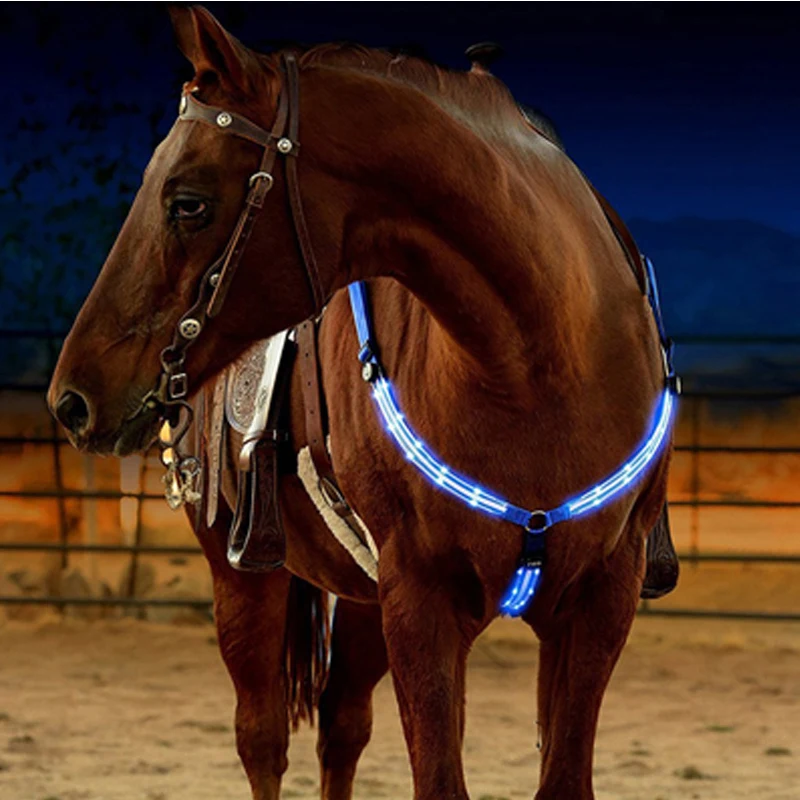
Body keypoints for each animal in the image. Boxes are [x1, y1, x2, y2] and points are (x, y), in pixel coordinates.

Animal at [48, 6, 677, 798]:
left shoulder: (598, 602)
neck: (541, 366)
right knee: (262, 738)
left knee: (341, 727)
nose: (72, 400)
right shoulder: (421, 602)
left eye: (187, 202)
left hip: (362, 599)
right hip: (245, 576)